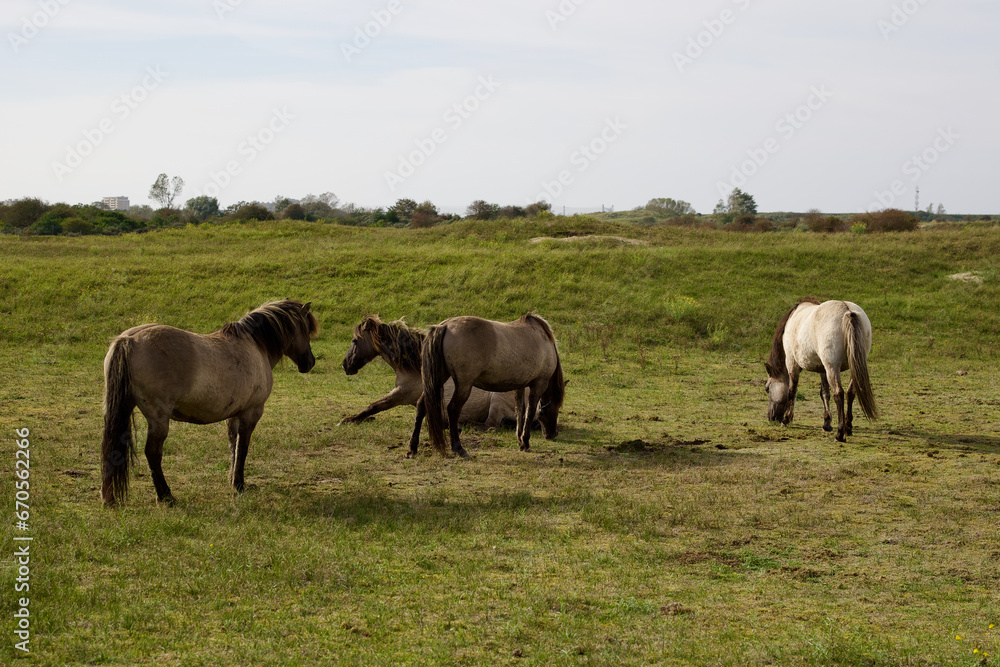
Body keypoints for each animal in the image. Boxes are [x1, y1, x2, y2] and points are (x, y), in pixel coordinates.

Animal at [99, 298, 318, 506]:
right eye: (306, 330)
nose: (310, 362)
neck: (255, 346)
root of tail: (129, 339)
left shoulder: (234, 415)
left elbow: (233, 446)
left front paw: (233, 481)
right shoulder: (251, 412)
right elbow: (243, 448)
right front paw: (239, 485)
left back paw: (108, 497)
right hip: (159, 419)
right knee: (152, 452)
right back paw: (166, 496)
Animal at [340, 314, 520, 428]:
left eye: (354, 340)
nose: (345, 365)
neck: (415, 366)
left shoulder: (402, 394)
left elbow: (374, 406)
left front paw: (348, 420)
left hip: (497, 400)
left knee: (490, 425)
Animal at [406, 314, 564, 460]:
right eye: (555, 409)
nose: (552, 434)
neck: (543, 339)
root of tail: (445, 326)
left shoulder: (520, 385)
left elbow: (520, 411)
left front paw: (520, 440)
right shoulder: (539, 384)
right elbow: (529, 412)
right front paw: (525, 441)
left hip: (439, 379)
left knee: (422, 406)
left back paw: (412, 448)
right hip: (464, 385)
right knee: (453, 409)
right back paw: (458, 448)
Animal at [764, 300, 876, 440]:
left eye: (767, 389)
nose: (771, 418)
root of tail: (848, 310)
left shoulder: (791, 363)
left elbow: (792, 391)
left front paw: (786, 419)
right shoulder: (823, 370)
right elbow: (824, 394)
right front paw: (826, 423)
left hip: (832, 368)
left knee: (839, 393)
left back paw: (840, 434)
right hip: (853, 368)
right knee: (850, 392)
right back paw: (848, 427)